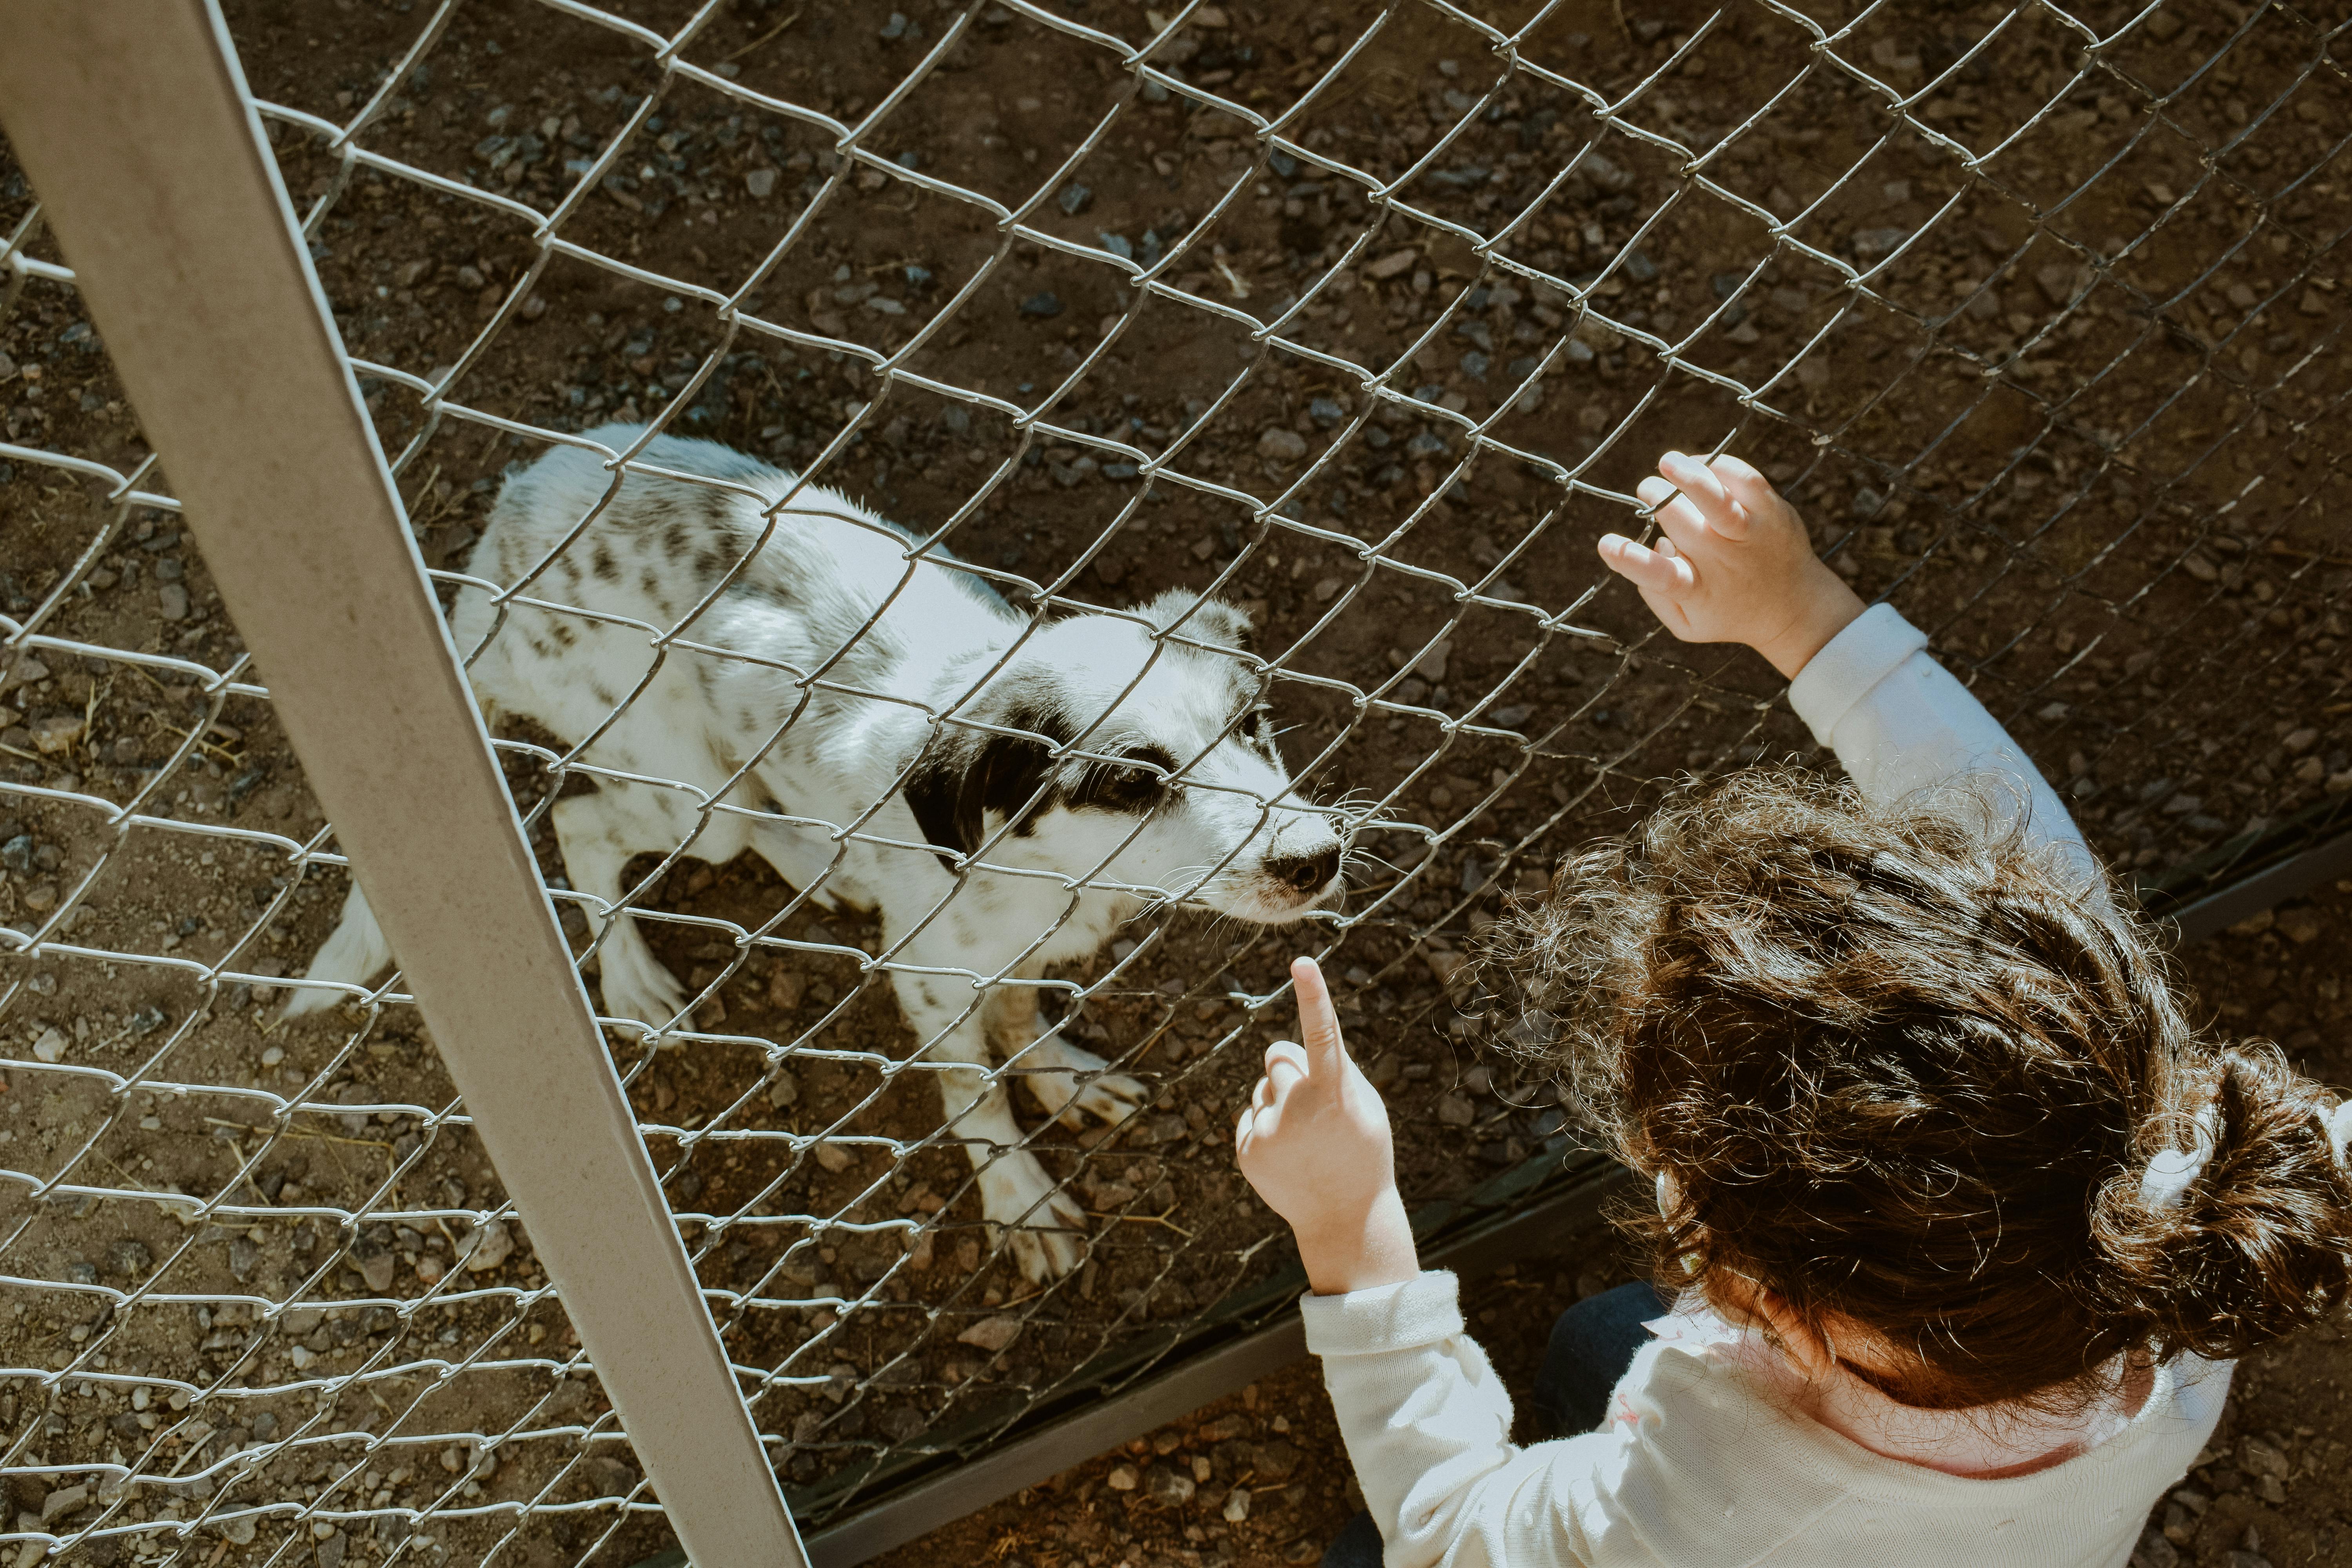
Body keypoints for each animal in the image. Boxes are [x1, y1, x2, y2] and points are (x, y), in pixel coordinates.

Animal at [285, 425, 1345, 1279]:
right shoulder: (932, 976)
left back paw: (819, 869)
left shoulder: (1010, 952)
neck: (1055, 872)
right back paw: (632, 980)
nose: (1318, 857)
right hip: (682, 787)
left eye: (1252, 725)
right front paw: (1020, 1201)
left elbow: (1018, 1016)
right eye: (1131, 780)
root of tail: (509, 519)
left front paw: (1061, 1075)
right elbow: (975, 1096)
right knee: (583, 825)